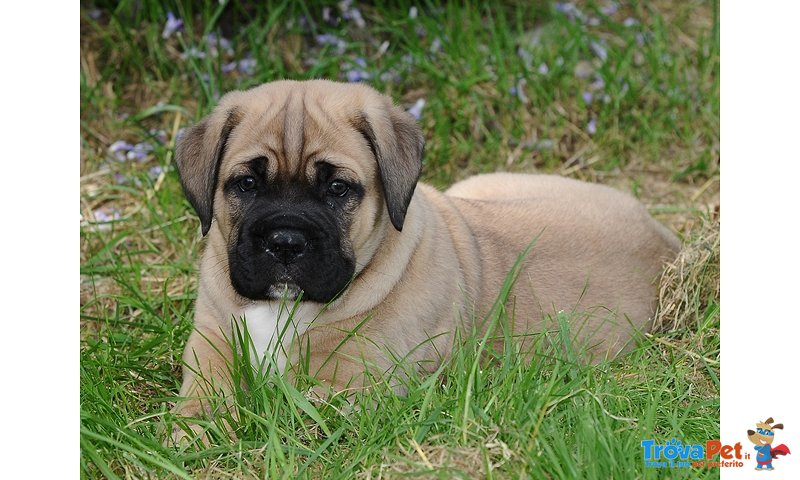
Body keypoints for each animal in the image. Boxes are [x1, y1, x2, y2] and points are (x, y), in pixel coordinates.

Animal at [170, 79, 680, 442]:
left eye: (338, 188)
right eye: (246, 184)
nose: (285, 241)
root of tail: (663, 239)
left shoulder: (355, 383)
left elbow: (288, 406)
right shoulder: (211, 341)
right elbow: (205, 395)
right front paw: (194, 430)